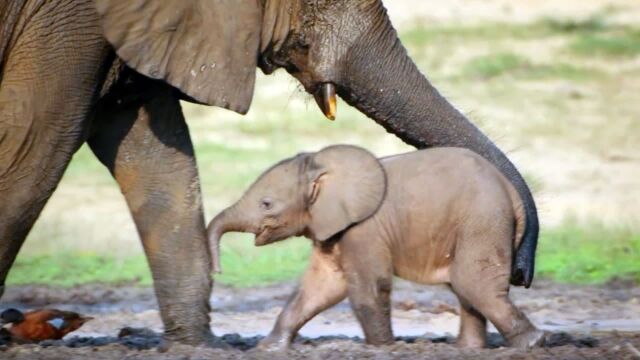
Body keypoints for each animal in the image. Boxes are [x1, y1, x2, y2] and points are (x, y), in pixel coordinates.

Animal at [209, 145, 544, 350]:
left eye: (266, 204)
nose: (218, 270)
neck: (322, 164)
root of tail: (512, 192)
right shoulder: (334, 228)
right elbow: (319, 288)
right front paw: (269, 347)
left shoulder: (364, 229)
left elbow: (368, 286)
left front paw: (384, 348)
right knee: (466, 287)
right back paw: (468, 349)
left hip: (483, 221)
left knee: (473, 283)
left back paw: (533, 343)